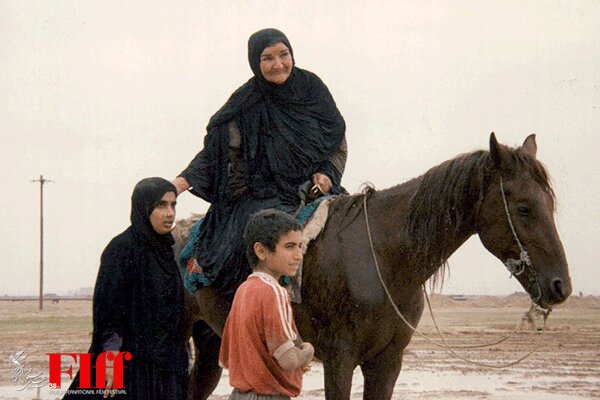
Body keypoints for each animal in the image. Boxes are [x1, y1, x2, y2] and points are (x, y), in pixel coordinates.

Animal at [178, 134, 572, 400]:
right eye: (523, 208)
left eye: (549, 205)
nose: (560, 286)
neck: (381, 260)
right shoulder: (340, 359)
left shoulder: (387, 362)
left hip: (212, 342)